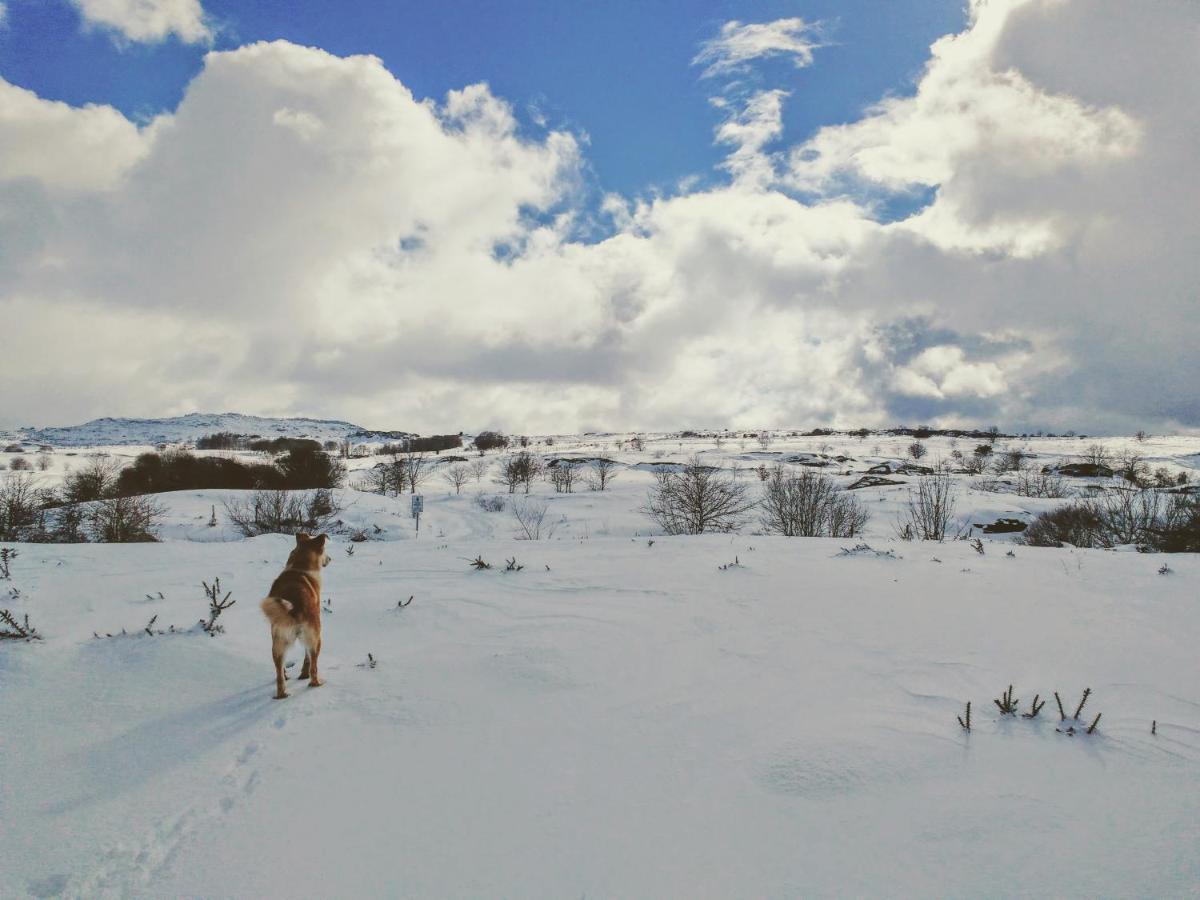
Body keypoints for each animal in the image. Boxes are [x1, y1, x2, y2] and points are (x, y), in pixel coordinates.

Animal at [259, 532, 331, 700]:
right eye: (325, 551)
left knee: (279, 674)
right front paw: (304, 674)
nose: (330, 559)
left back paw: (282, 693)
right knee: (313, 666)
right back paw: (316, 684)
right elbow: (307, 659)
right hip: (316, 638)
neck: (300, 566)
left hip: (277, 643)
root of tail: (295, 608)